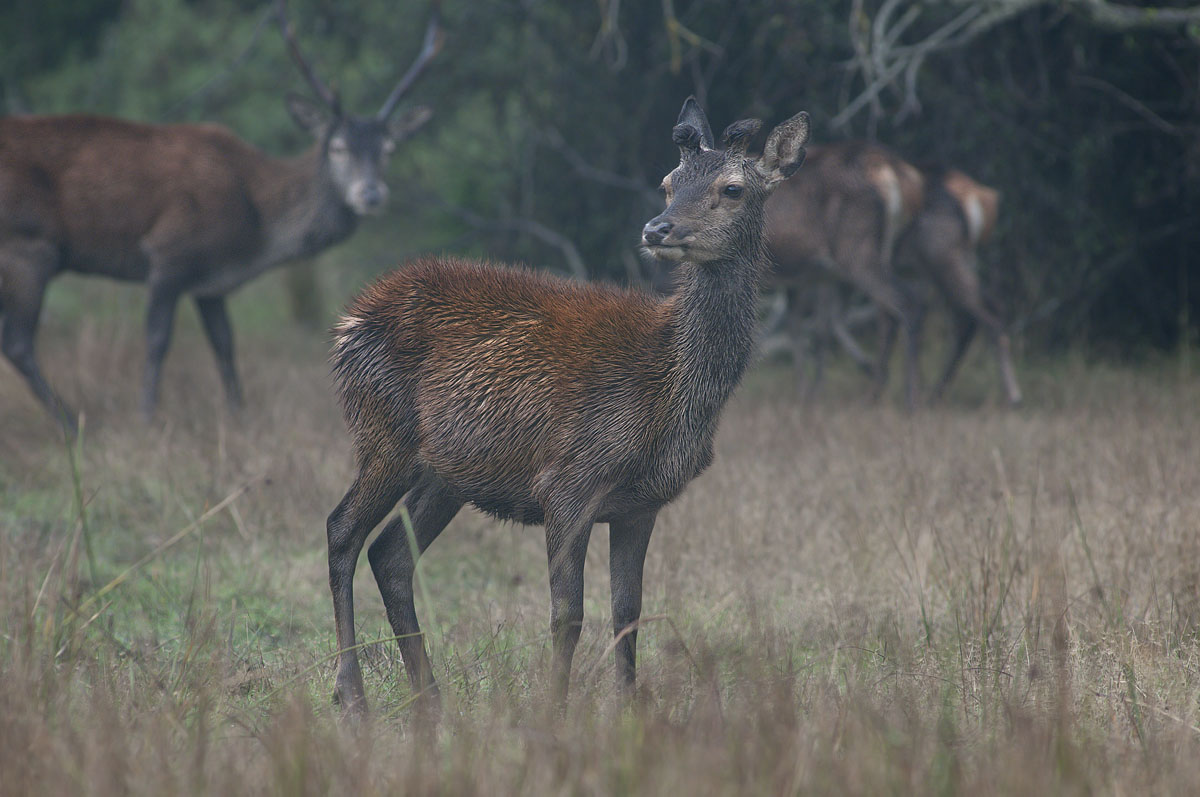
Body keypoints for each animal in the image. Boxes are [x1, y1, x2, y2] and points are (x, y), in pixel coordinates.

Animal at [0, 0, 439, 434]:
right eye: (338, 147)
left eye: (389, 148)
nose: (371, 194)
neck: (255, 228)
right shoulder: (169, 251)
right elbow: (157, 340)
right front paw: (147, 416)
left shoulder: (211, 282)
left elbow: (225, 344)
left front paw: (238, 415)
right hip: (28, 246)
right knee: (18, 341)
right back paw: (70, 422)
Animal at [324, 97, 810, 716]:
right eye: (668, 183)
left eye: (732, 189)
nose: (658, 228)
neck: (670, 394)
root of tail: (349, 320)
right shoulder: (568, 482)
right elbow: (567, 615)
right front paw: (554, 711)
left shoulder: (640, 503)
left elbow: (628, 612)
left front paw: (629, 711)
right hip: (384, 431)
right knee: (343, 530)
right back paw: (351, 693)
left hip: (446, 471)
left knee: (390, 554)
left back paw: (429, 696)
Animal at [764, 141, 927, 407]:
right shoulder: (807, 277)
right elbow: (803, 328)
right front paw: (805, 396)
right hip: (885, 253)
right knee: (888, 313)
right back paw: (879, 387)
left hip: (857, 250)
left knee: (906, 302)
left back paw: (907, 398)